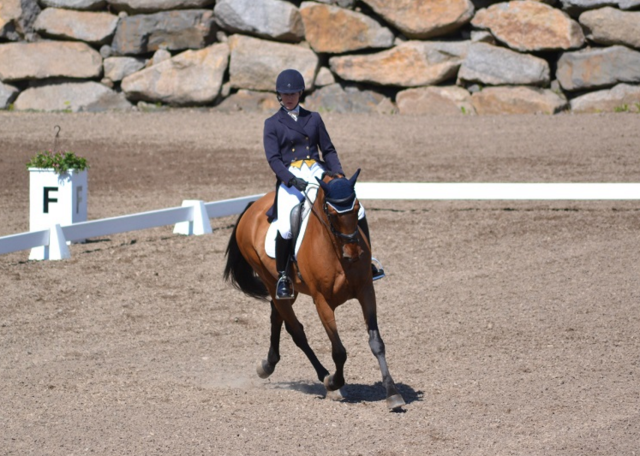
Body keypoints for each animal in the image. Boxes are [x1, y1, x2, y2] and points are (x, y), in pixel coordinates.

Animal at [225, 171, 404, 410]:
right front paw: (333, 382)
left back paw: (268, 365)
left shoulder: (366, 291)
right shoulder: (322, 302)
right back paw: (324, 377)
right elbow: (339, 352)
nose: (353, 254)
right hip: (271, 282)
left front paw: (392, 394)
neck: (336, 253)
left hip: (290, 290)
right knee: (296, 331)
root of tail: (253, 206)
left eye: (357, 208)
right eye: (332, 213)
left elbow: (377, 343)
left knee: (276, 316)